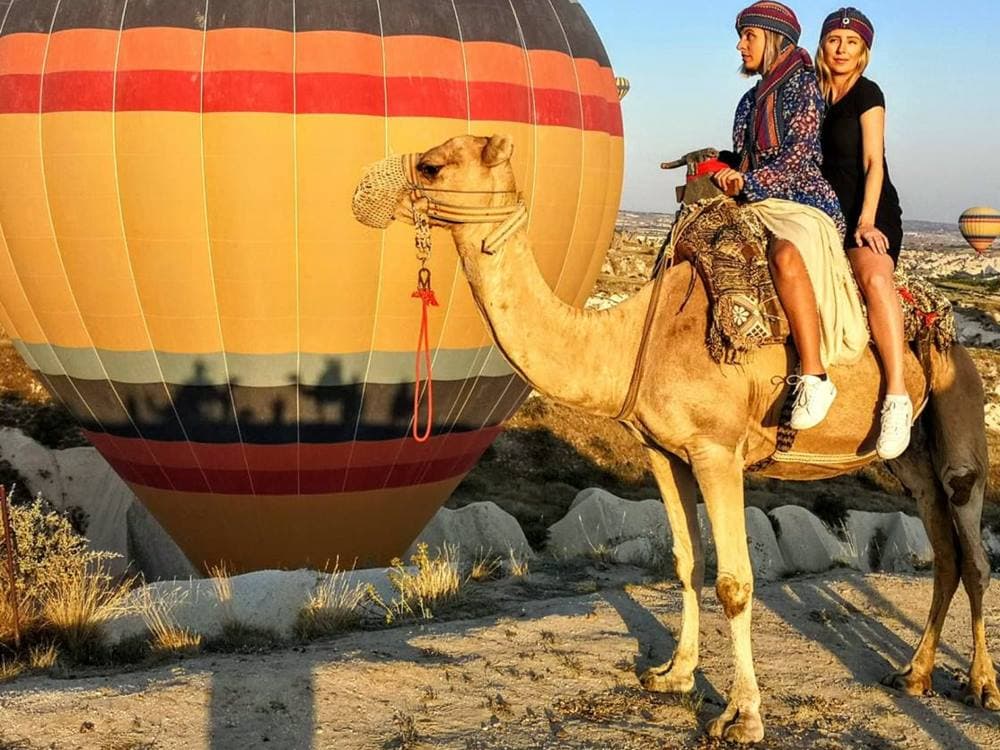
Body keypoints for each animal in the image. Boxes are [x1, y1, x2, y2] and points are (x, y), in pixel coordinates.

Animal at [353, 134, 999, 743]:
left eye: (432, 165)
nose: (365, 192)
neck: (634, 337)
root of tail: (949, 327)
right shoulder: (664, 452)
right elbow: (688, 562)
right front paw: (674, 675)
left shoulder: (717, 451)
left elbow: (736, 582)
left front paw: (742, 717)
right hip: (910, 456)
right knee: (942, 544)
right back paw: (913, 674)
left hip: (959, 412)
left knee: (972, 545)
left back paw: (980, 686)